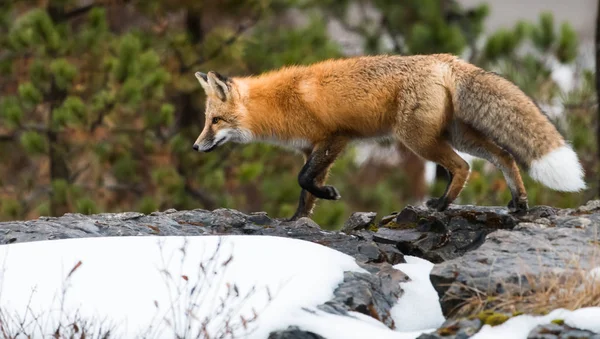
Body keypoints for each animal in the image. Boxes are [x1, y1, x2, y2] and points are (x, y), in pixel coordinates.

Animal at [192, 54, 584, 222]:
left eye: (215, 121)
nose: (196, 146)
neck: (281, 102)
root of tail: (447, 59)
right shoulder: (312, 147)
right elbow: (305, 190)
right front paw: (297, 220)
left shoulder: (335, 138)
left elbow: (304, 179)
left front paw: (328, 195)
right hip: (458, 135)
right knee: (505, 155)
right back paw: (518, 202)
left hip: (417, 139)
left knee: (462, 167)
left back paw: (441, 205)